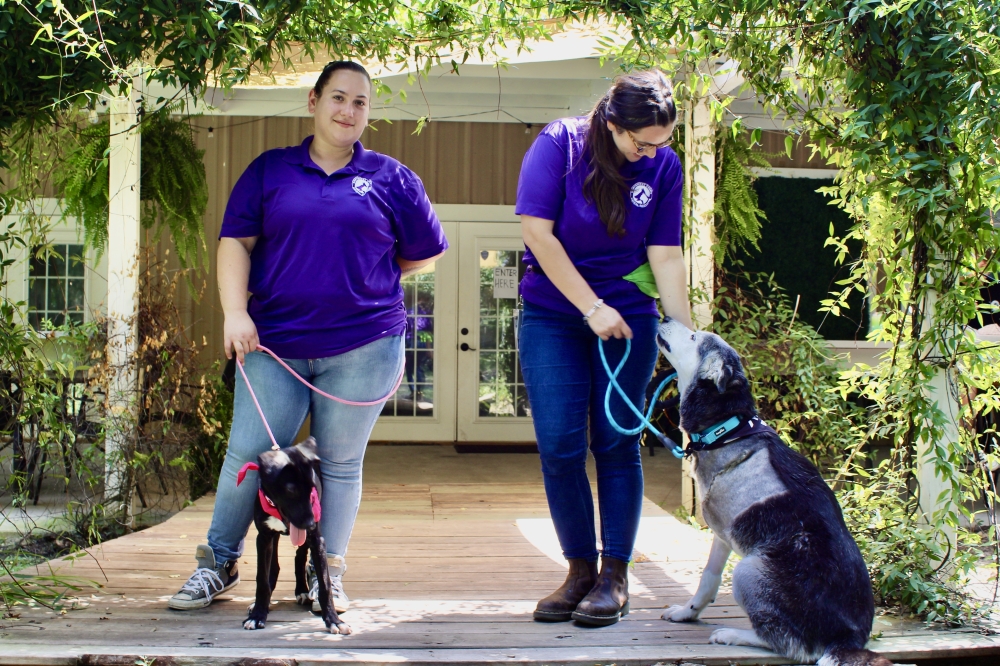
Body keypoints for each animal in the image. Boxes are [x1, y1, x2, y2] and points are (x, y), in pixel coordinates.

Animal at [235, 436, 352, 632]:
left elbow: (325, 584)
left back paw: (302, 591)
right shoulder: (264, 537)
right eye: (291, 490)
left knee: (299, 557)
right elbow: (262, 580)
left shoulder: (317, 540)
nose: (311, 523)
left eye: (312, 488)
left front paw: (334, 620)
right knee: (274, 566)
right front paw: (257, 615)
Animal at [656, 316, 892, 664]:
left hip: (747, 570)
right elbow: (708, 582)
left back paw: (733, 635)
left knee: (791, 645)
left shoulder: (723, 535)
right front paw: (689, 613)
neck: (727, 430)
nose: (664, 317)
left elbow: (709, 581)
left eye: (694, 336)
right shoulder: (721, 538)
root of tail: (847, 640)